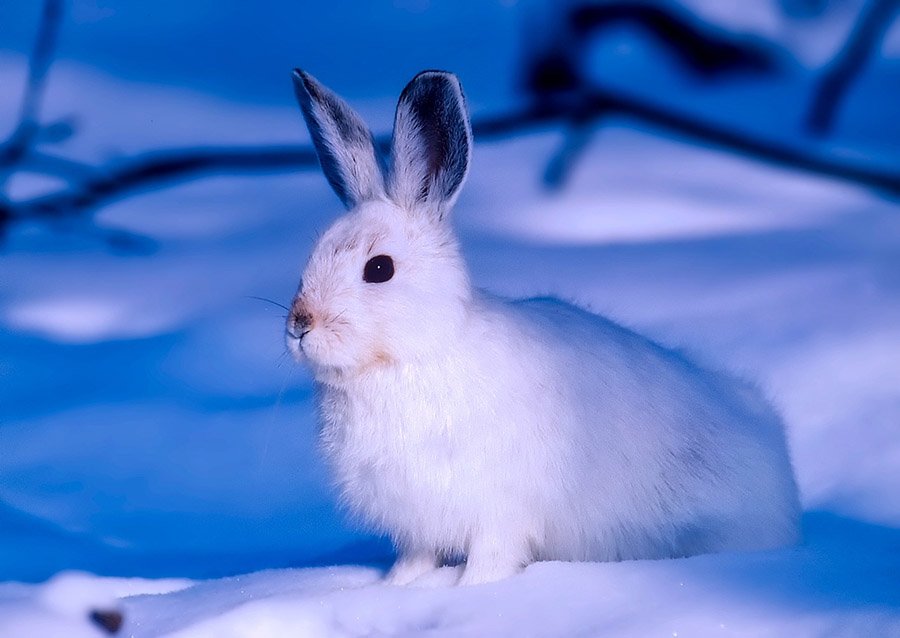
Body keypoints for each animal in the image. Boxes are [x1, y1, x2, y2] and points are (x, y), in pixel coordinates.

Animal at [285, 68, 802, 587]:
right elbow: (416, 558)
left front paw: (469, 591)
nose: (300, 325)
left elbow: (491, 558)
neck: (414, 355)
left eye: (379, 269)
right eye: (310, 258)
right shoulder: (418, 525)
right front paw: (397, 587)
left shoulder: (499, 513)